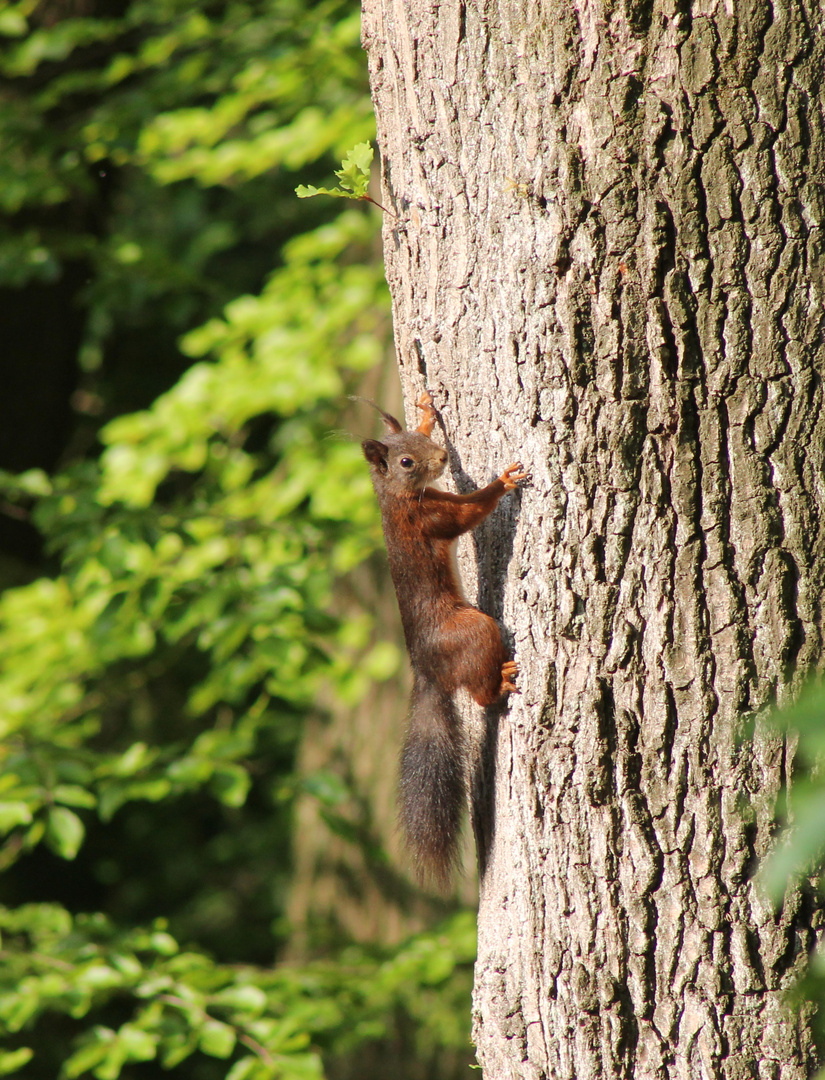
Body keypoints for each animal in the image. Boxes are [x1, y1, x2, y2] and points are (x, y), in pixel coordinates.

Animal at [362, 388, 529, 885]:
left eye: (416, 441)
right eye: (405, 462)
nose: (440, 457)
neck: (397, 499)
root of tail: (428, 671)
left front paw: (425, 409)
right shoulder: (431, 516)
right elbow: (470, 512)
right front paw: (503, 481)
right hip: (474, 629)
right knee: (478, 695)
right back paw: (501, 681)